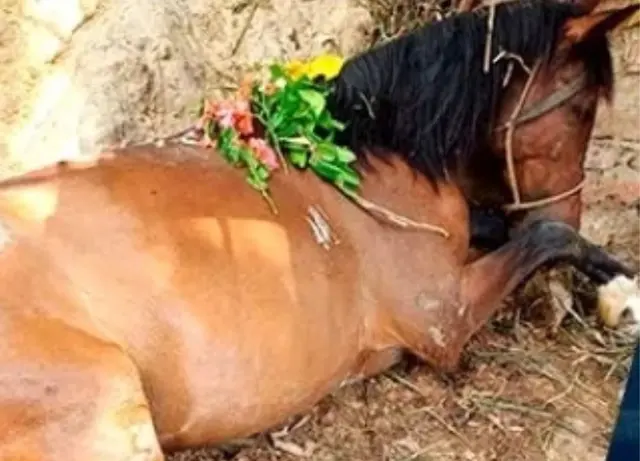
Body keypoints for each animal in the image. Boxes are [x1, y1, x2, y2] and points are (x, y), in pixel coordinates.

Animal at [0, 1, 636, 458]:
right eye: (582, 109)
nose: (568, 209)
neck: (366, 156)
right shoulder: (443, 322)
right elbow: (544, 238)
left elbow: (510, 227)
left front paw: (617, 281)